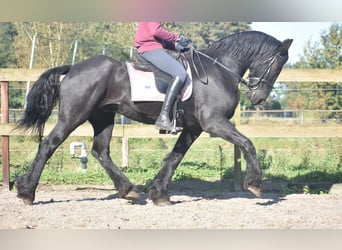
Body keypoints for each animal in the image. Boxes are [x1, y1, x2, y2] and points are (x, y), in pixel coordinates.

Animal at [14, 30, 292, 205]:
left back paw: (128, 190)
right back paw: (27, 192)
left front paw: (159, 194)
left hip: (104, 117)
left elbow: (174, 157)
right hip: (73, 115)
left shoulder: (193, 127)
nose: (258, 98)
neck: (218, 70)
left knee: (100, 151)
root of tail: (74, 67)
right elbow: (247, 143)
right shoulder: (214, 122)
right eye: (278, 65)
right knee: (49, 145)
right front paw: (255, 183)